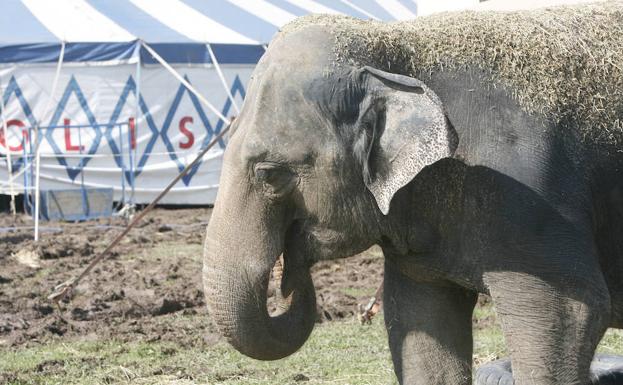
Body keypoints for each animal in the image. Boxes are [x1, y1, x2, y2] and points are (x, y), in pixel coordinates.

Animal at [204, 3, 623, 384]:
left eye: (269, 173)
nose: (288, 275)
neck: (397, 48)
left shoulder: (533, 200)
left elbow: (567, 315)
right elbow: (421, 324)